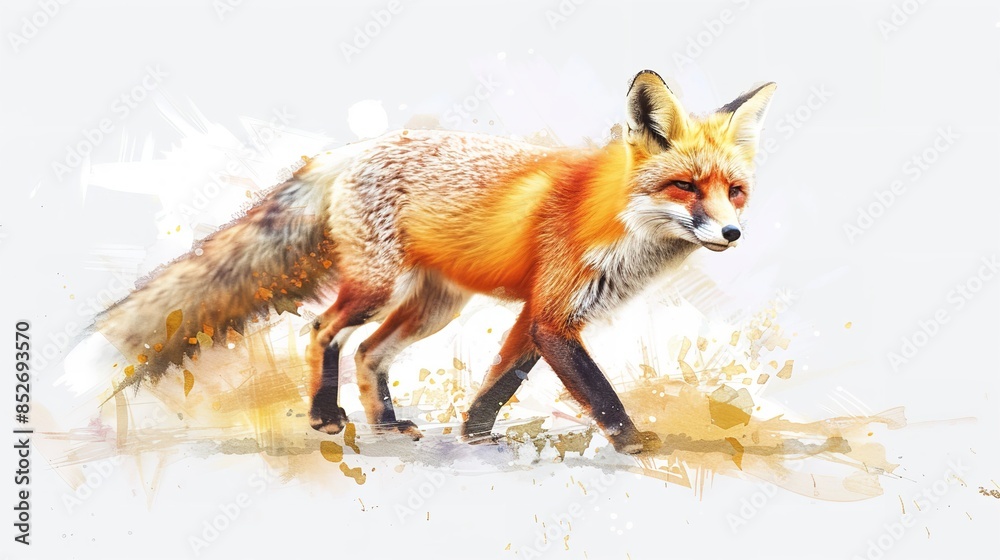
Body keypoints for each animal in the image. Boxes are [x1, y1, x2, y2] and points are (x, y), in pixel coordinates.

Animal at [96, 70, 775, 454]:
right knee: (321, 330)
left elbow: (501, 379)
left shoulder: (539, 314)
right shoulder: (554, 314)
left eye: (735, 191)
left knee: (369, 353)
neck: (616, 220)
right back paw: (324, 416)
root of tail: (349, 152)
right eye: (686, 187)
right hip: (376, 288)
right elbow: (599, 391)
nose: (734, 232)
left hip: (435, 308)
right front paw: (632, 443)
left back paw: (386, 423)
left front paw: (474, 433)